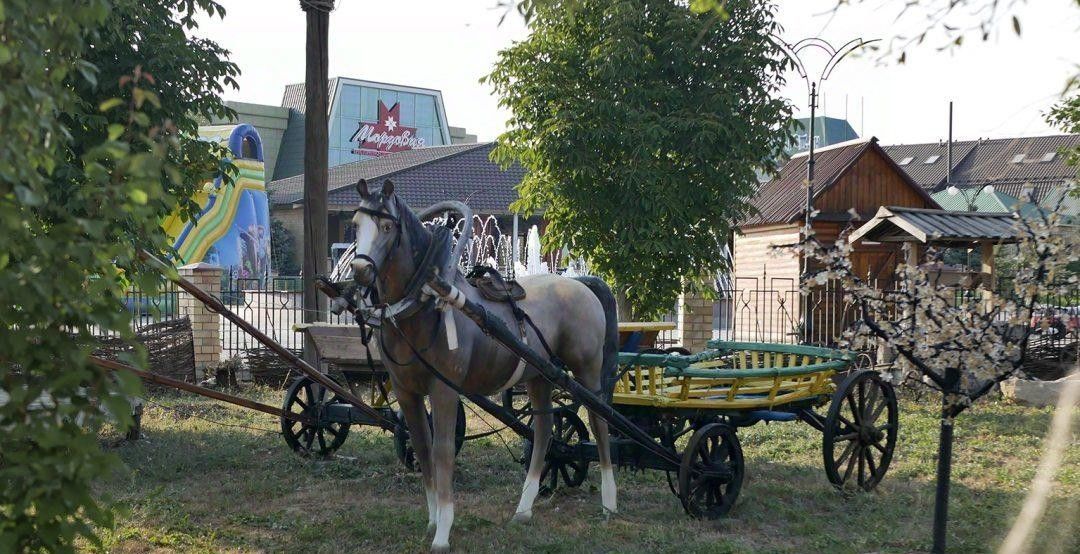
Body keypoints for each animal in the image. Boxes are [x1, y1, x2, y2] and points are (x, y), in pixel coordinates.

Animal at [349, 179, 622, 550]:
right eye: (356, 224)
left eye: (387, 227)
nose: (360, 270)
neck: (426, 302)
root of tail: (579, 283)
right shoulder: (406, 392)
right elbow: (421, 447)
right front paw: (433, 520)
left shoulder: (444, 390)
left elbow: (443, 451)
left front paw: (443, 531)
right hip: (540, 376)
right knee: (544, 431)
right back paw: (524, 508)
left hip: (588, 372)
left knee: (599, 422)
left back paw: (609, 501)